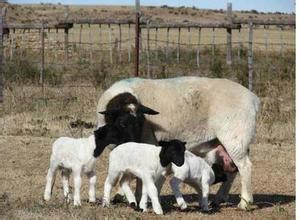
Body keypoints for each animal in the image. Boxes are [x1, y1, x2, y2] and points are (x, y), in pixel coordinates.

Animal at [97, 77, 262, 210]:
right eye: (122, 123)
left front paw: (140, 197)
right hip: (226, 143)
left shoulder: (148, 142)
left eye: (141, 123)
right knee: (232, 169)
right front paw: (122, 196)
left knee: (244, 166)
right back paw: (218, 199)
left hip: (235, 136)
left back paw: (244, 203)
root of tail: (253, 98)